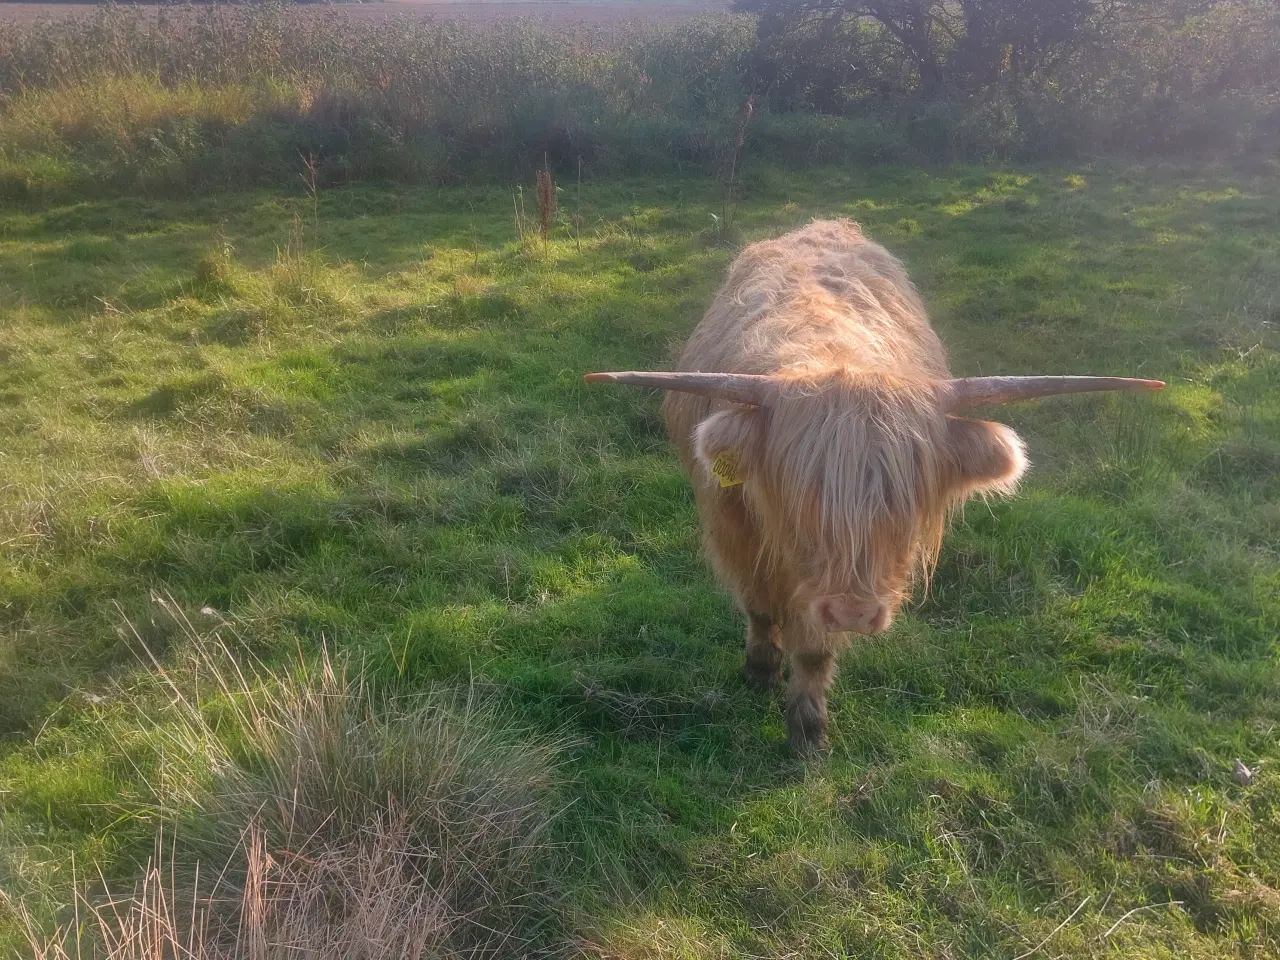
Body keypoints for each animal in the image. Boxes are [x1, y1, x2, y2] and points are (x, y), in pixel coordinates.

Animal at [586, 221, 1167, 757]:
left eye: (902, 504)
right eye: (802, 496)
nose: (853, 612)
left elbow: (814, 650)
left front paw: (808, 732)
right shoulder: (735, 528)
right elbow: (759, 604)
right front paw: (760, 670)